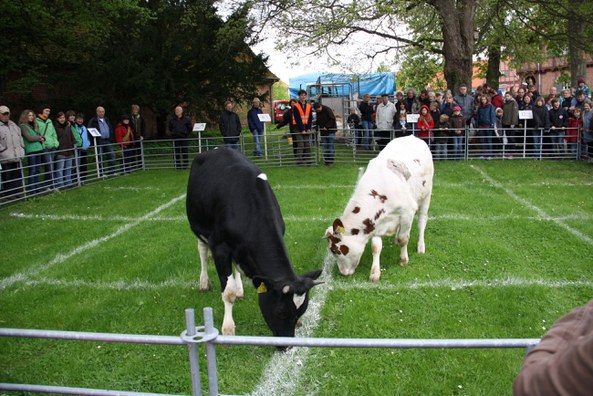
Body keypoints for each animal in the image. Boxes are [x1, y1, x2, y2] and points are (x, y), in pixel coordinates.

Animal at [186, 148, 322, 338]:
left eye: (301, 312)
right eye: (280, 312)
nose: (287, 343)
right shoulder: (219, 247)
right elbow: (227, 293)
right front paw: (228, 328)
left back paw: (240, 289)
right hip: (198, 226)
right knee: (202, 252)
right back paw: (204, 283)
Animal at [326, 136, 432, 282]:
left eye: (336, 250)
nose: (343, 273)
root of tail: (412, 136)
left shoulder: (407, 212)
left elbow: (404, 239)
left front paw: (403, 260)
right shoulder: (376, 221)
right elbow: (376, 247)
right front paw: (375, 273)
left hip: (426, 195)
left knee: (422, 220)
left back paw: (421, 246)